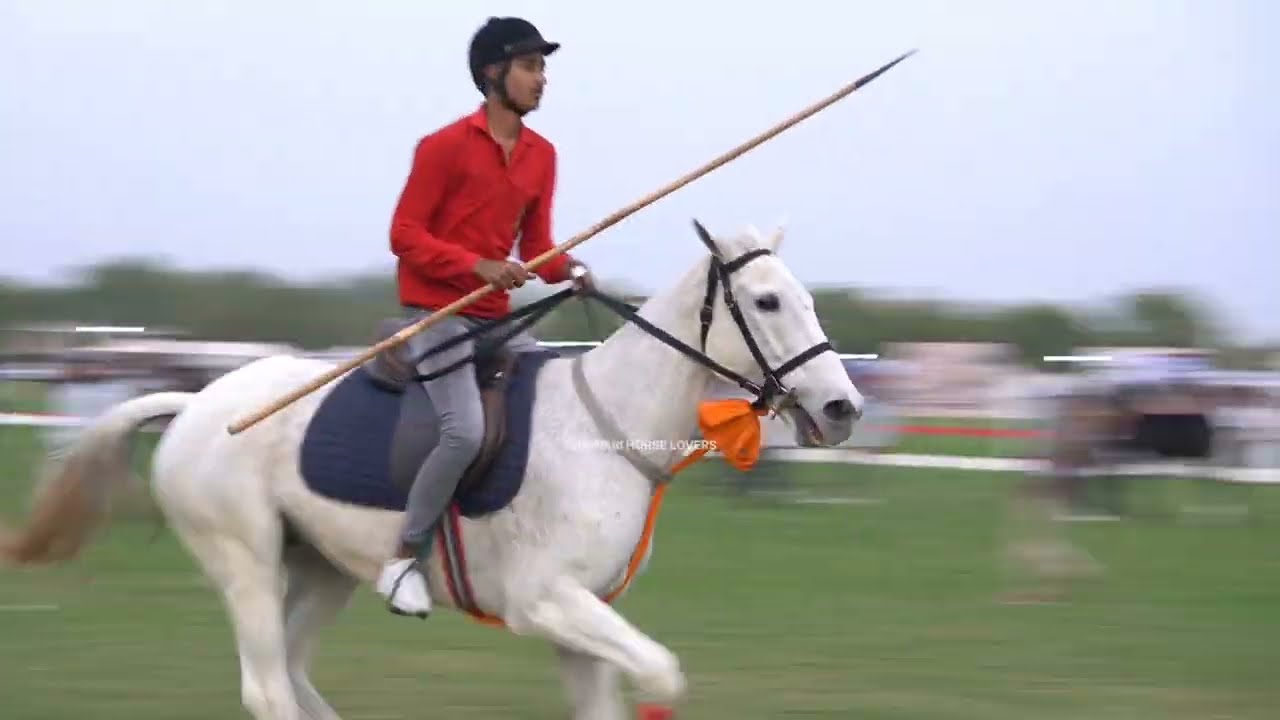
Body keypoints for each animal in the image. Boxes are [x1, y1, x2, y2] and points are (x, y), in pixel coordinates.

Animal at [0, 220, 864, 720]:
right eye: (767, 301)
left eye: (806, 297)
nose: (843, 407)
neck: (605, 430)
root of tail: (194, 403)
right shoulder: (544, 603)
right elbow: (663, 676)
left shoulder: (584, 625)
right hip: (244, 562)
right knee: (268, 686)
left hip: (324, 570)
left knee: (296, 673)